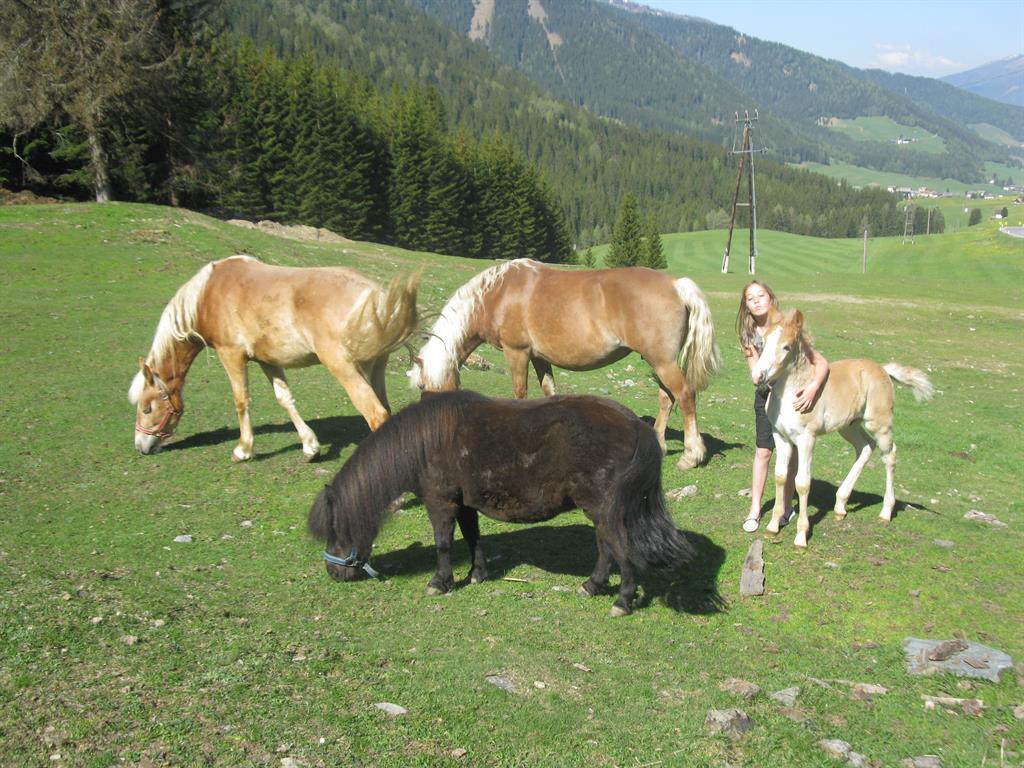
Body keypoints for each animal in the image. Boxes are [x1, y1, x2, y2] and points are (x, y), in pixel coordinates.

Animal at [128, 255, 419, 461]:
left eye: (147, 408)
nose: (141, 446)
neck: (206, 296)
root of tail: (377, 295)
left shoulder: (231, 354)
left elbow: (241, 400)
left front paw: (243, 449)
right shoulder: (267, 360)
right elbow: (284, 398)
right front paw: (310, 447)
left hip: (345, 367)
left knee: (376, 414)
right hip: (373, 368)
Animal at [308, 390, 695, 616]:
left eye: (336, 530)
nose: (333, 572)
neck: (425, 441)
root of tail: (636, 425)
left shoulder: (440, 502)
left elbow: (444, 544)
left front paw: (440, 582)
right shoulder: (464, 503)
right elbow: (473, 538)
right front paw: (477, 574)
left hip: (606, 511)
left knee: (621, 550)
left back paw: (622, 601)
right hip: (600, 512)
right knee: (606, 549)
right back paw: (591, 586)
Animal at [408, 259, 721, 470]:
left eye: (423, 386)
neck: (497, 294)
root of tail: (676, 285)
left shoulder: (517, 352)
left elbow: (520, 394)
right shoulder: (539, 358)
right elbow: (550, 393)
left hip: (662, 362)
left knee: (685, 396)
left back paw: (691, 455)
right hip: (659, 362)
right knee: (667, 398)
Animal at [751, 309, 934, 548]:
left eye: (787, 347)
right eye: (762, 342)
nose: (758, 375)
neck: (794, 392)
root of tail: (883, 369)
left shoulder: (807, 438)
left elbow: (802, 483)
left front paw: (801, 537)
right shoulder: (780, 436)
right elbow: (780, 476)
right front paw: (772, 527)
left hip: (879, 424)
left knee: (889, 455)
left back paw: (885, 512)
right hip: (849, 426)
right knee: (866, 447)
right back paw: (840, 505)